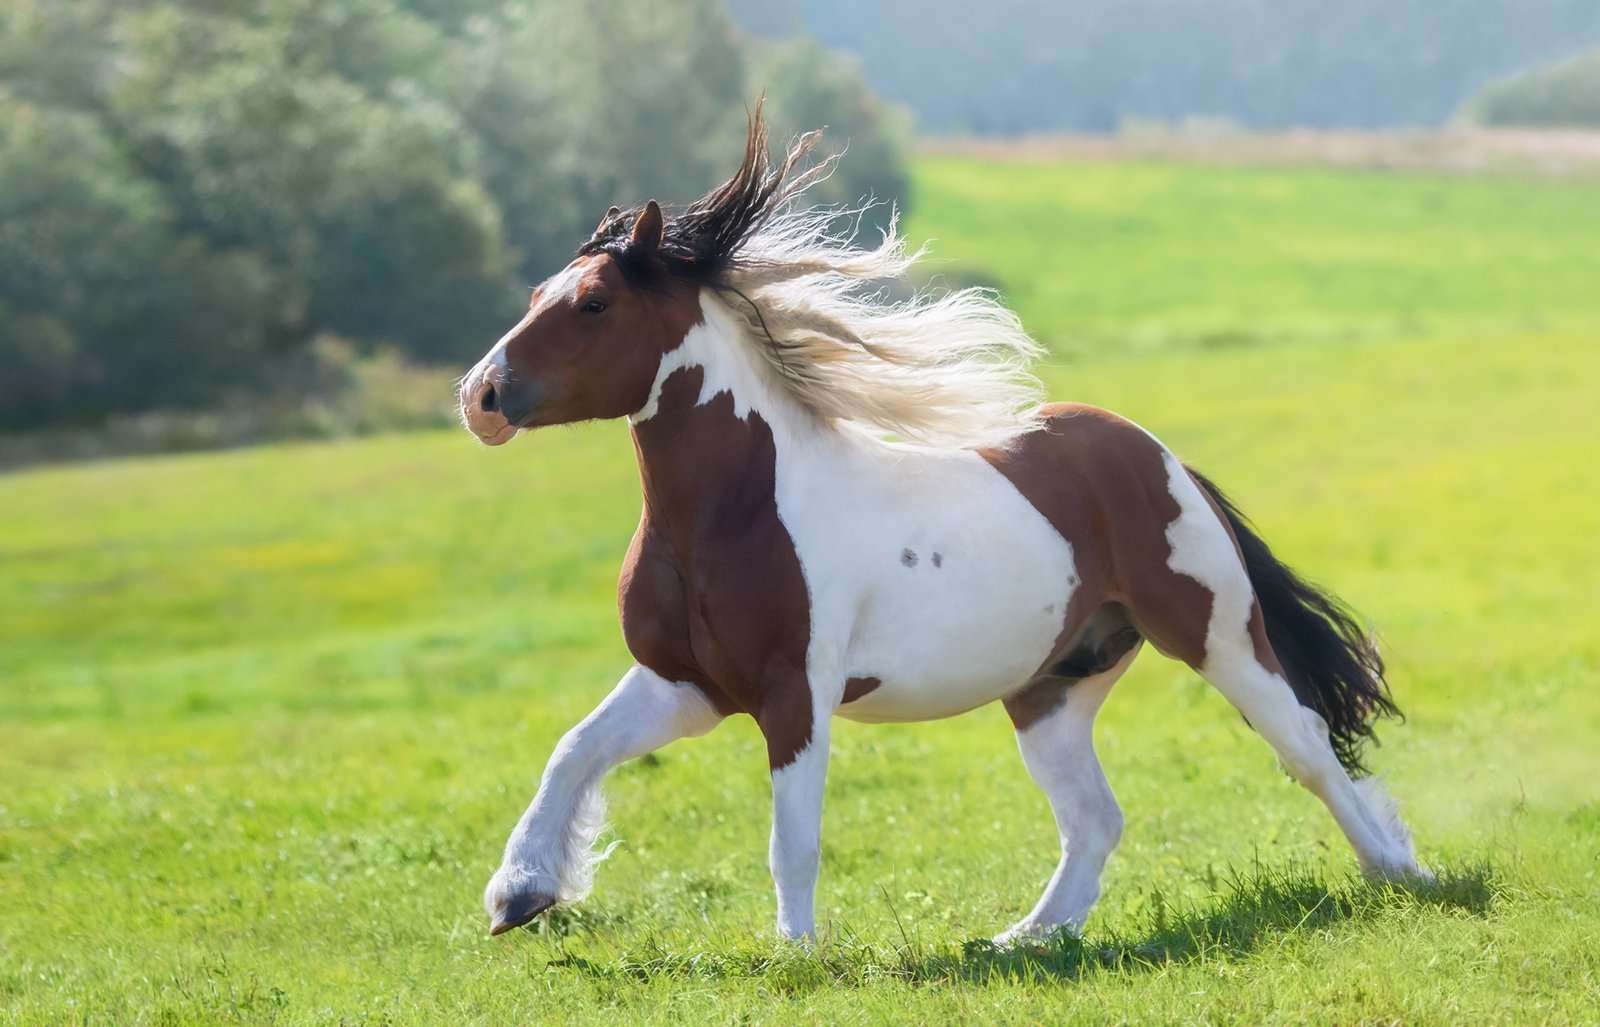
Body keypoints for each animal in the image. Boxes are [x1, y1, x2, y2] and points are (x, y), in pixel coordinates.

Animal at [457, 111, 1425, 944]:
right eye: (539, 291)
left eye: (593, 305)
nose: (481, 396)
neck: (734, 513)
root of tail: (1158, 456)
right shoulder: (684, 684)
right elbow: (573, 750)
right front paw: (519, 895)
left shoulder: (793, 693)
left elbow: (791, 838)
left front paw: (796, 954)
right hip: (1051, 687)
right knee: (1096, 818)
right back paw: (1023, 939)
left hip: (1217, 636)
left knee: (1309, 749)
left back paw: (1404, 875)